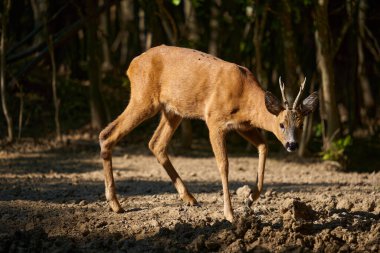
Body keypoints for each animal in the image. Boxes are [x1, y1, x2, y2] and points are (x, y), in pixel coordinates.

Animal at [99, 45, 320, 221]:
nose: (292, 144)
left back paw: (189, 198)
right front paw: (230, 214)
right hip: (144, 98)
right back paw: (116, 204)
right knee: (107, 134)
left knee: (156, 143)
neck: (244, 96)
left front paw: (250, 198)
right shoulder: (214, 120)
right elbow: (224, 164)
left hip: (172, 110)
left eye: (301, 124)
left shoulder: (243, 125)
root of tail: (132, 64)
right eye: (281, 124)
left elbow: (263, 146)